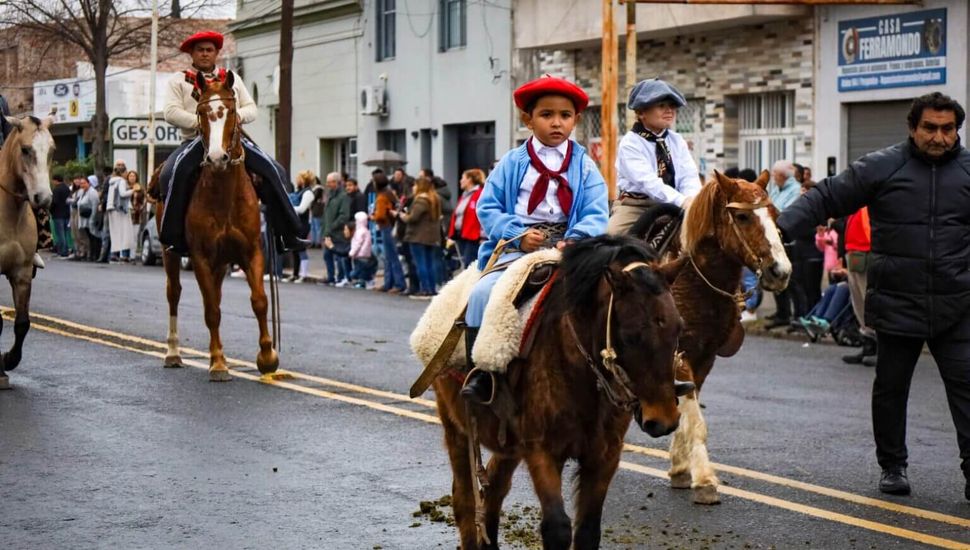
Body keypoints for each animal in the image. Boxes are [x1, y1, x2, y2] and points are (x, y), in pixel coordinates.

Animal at [153, 72, 278, 384]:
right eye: (201, 113)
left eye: (230, 111)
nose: (217, 157)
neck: (224, 195)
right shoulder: (200, 257)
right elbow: (211, 310)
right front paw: (219, 363)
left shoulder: (251, 252)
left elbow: (259, 301)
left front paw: (267, 357)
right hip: (171, 254)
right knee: (175, 294)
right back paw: (173, 353)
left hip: (222, 262)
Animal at [632, 171, 792, 504]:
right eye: (742, 216)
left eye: (774, 214)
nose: (780, 271)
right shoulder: (679, 355)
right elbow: (695, 418)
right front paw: (704, 479)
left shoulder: (704, 357)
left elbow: (686, 410)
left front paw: (681, 468)